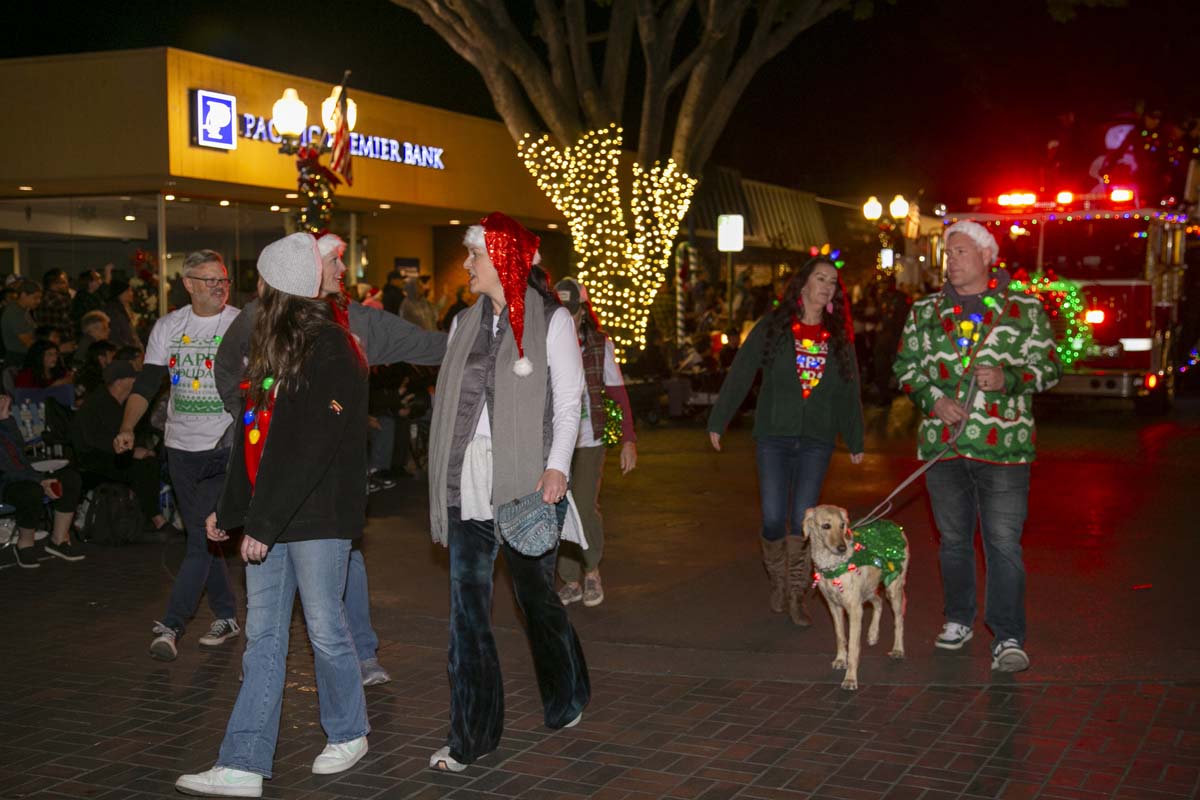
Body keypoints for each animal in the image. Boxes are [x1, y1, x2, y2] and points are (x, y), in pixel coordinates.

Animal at [806, 506, 907, 690]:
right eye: (825, 526)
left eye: (842, 525)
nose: (842, 548)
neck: (833, 565)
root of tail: (895, 525)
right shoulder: (834, 606)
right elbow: (840, 637)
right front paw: (840, 660)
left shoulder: (854, 610)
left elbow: (853, 646)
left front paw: (850, 679)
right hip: (868, 590)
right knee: (878, 602)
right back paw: (873, 634)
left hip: (893, 588)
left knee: (899, 620)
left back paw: (898, 649)